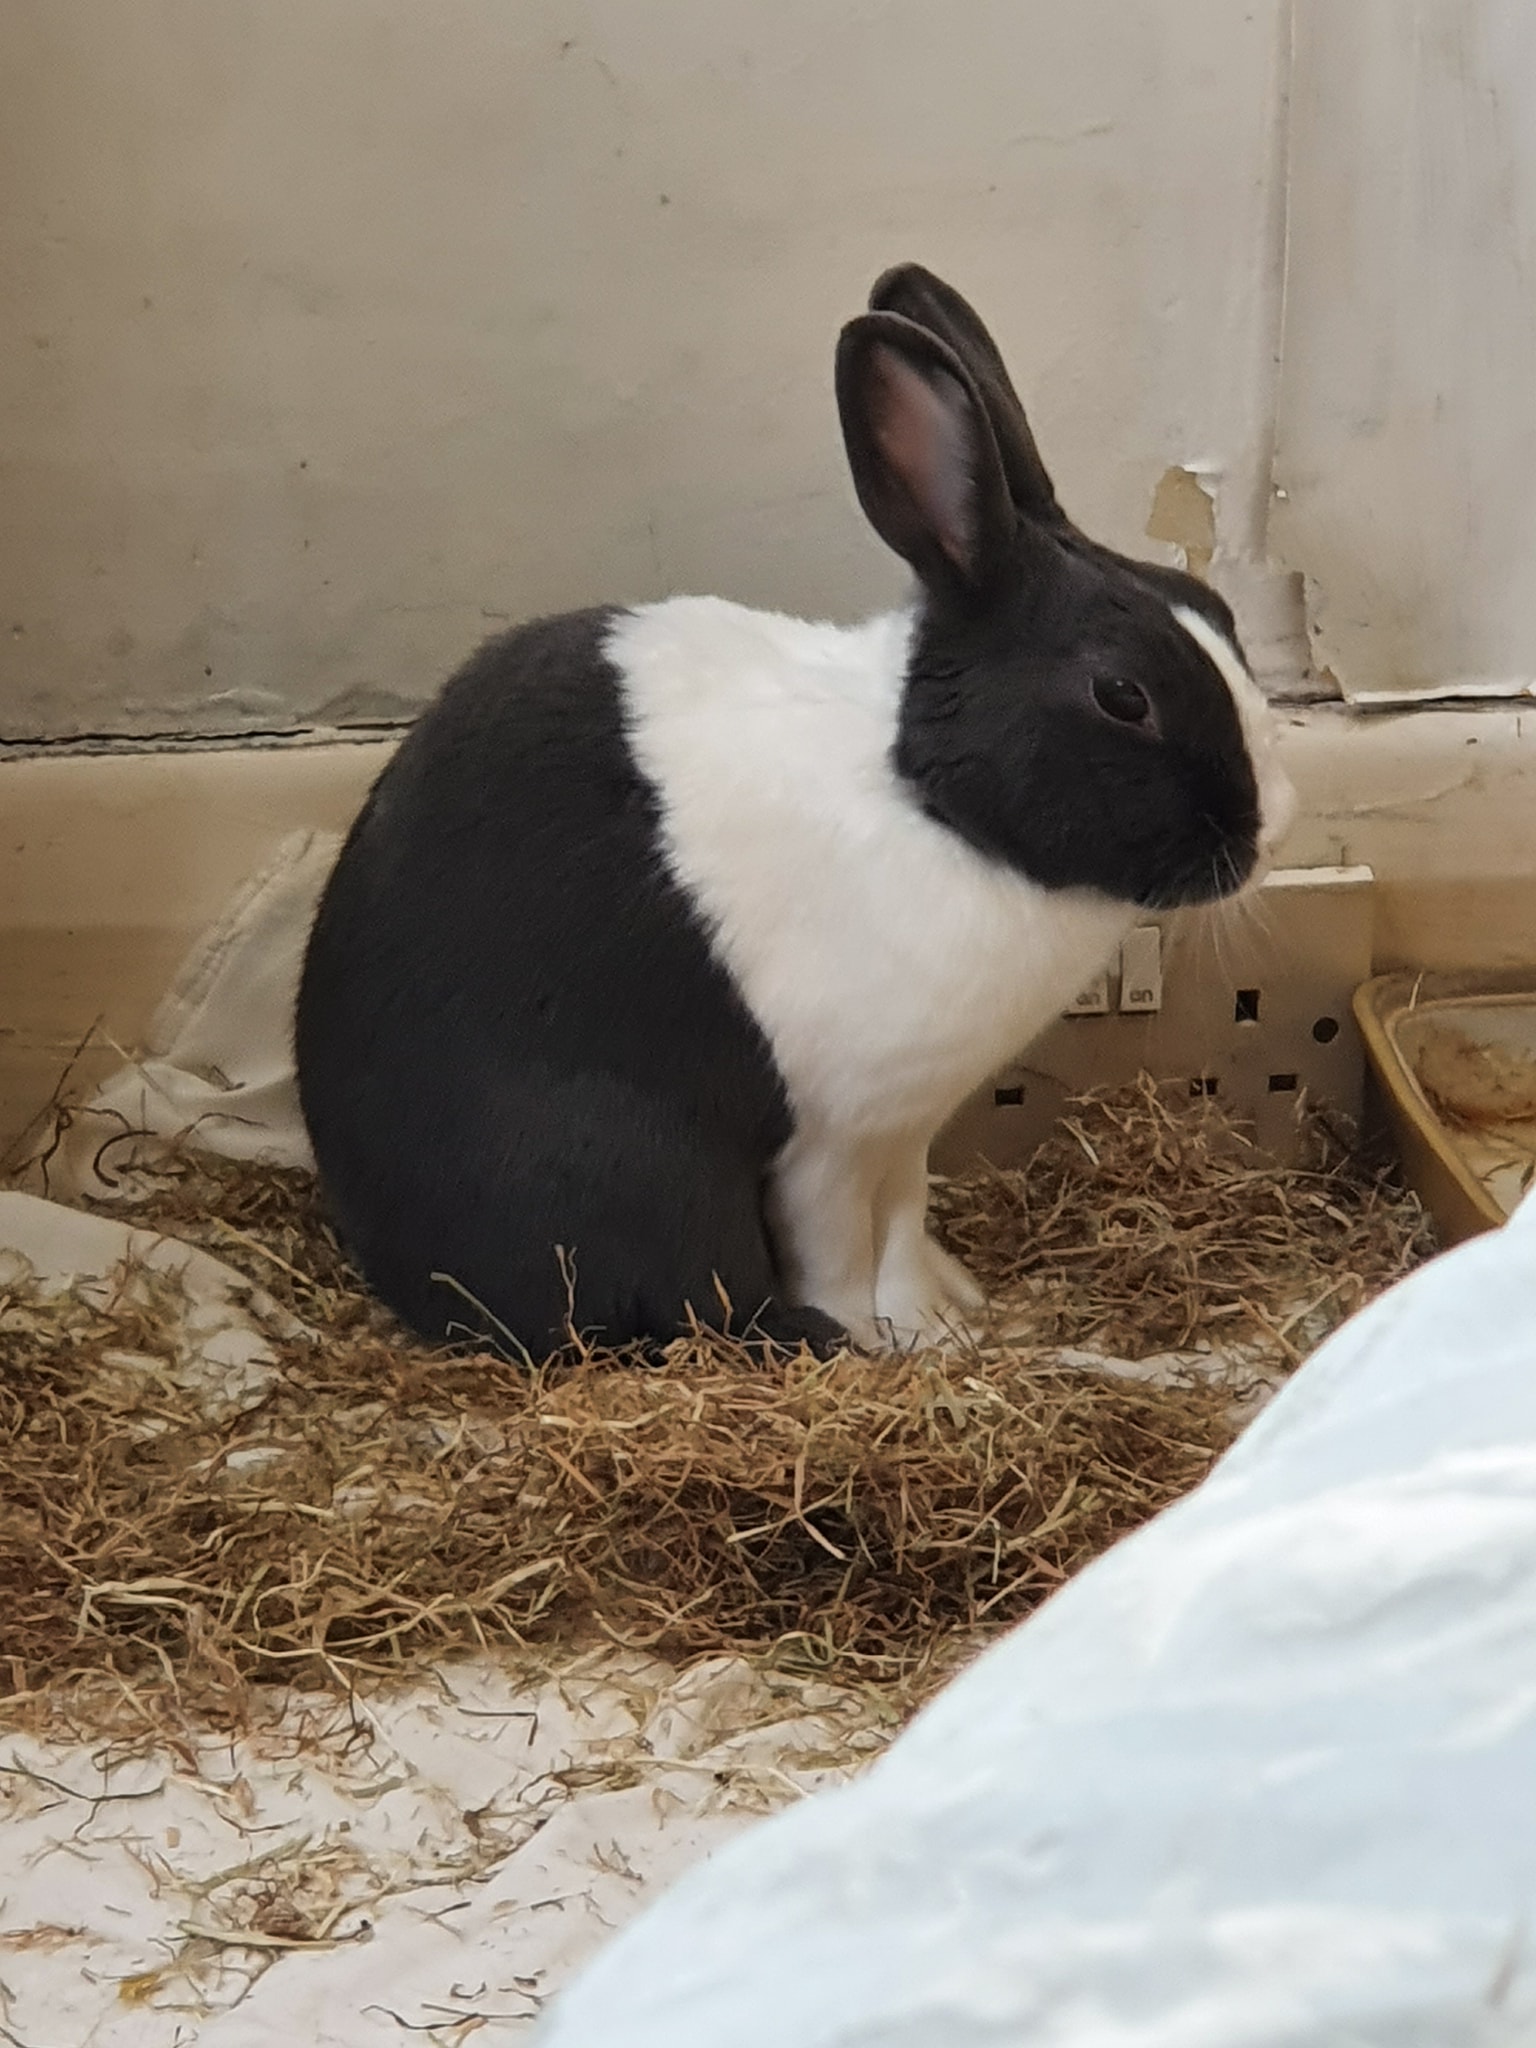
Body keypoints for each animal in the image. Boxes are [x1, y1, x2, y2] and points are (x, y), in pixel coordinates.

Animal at [295, 262, 1296, 1360]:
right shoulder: (830, 1141)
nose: (1271, 826)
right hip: (635, 1176)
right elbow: (842, 1249)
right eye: (1123, 696)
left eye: (1220, 615)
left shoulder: (904, 1131)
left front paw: (951, 1314)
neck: (929, 803)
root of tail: (399, 1269)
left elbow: (906, 1221)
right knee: (701, 1300)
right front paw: (891, 1341)